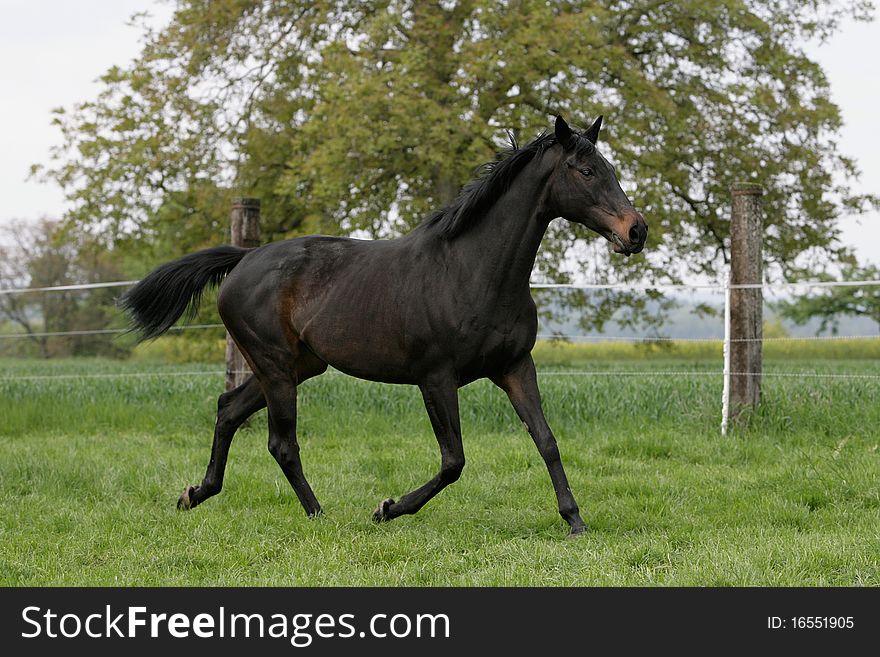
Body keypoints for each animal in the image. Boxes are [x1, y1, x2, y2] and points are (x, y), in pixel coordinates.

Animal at [120, 114, 648, 532]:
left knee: (228, 409)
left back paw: (195, 494)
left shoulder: (515, 367)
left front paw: (575, 521)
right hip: (276, 367)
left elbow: (547, 441)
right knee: (280, 442)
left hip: (298, 366)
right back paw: (319, 515)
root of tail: (244, 258)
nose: (636, 231)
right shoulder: (435, 378)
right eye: (586, 171)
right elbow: (454, 461)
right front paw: (387, 508)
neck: (472, 271)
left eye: (612, 169)